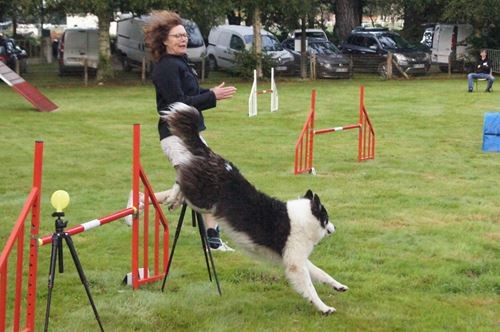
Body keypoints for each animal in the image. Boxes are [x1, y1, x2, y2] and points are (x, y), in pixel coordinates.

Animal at [158, 102, 346, 312]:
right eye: (327, 218)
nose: (335, 227)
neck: (304, 218)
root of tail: (213, 155)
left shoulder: (296, 257)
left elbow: (321, 272)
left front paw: (338, 286)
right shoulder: (295, 262)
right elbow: (310, 287)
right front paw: (324, 308)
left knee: (181, 178)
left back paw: (173, 200)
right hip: (203, 199)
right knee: (180, 181)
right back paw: (171, 198)